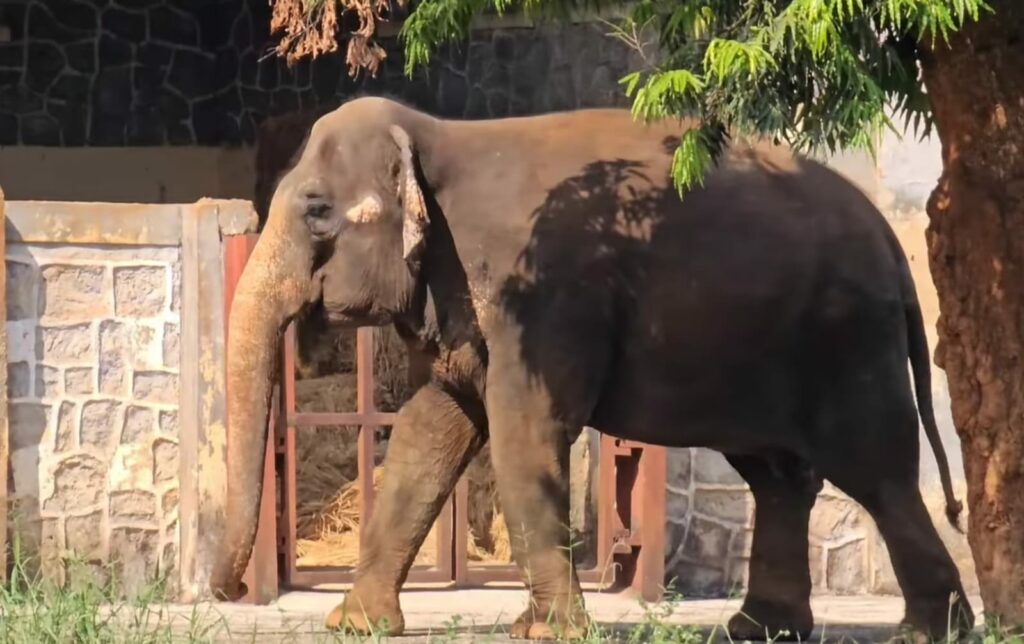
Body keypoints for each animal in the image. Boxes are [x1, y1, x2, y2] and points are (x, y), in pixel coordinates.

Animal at [209, 94, 974, 638]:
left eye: (316, 211)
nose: (228, 591)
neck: (441, 136)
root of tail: (893, 243)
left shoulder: (542, 296)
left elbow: (525, 434)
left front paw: (547, 632)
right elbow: (433, 429)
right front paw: (355, 625)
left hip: (846, 339)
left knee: (876, 473)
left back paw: (927, 632)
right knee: (780, 476)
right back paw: (760, 630)